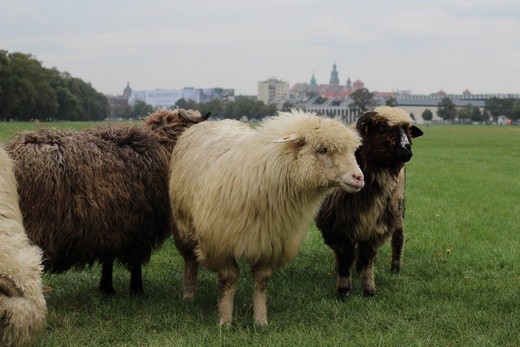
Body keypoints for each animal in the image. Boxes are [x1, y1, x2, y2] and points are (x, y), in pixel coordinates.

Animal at [4, 109, 208, 296]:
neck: (160, 147)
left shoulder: (110, 225)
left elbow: (108, 258)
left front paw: (107, 288)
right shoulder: (137, 226)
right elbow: (135, 262)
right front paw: (137, 290)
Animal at [169, 110, 364, 328]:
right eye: (322, 149)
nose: (359, 177)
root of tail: (214, 121)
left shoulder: (270, 242)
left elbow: (261, 282)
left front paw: (261, 321)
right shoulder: (220, 243)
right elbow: (229, 280)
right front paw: (225, 321)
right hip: (183, 227)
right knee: (190, 260)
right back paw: (189, 295)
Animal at [312, 106, 422, 300]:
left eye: (408, 131)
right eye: (381, 128)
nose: (406, 149)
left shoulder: (376, 226)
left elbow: (367, 258)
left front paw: (369, 290)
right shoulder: (337, 226)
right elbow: (345, 257)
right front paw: (343, 290)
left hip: (398, 209)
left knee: (398, 238)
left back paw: (395, 268)